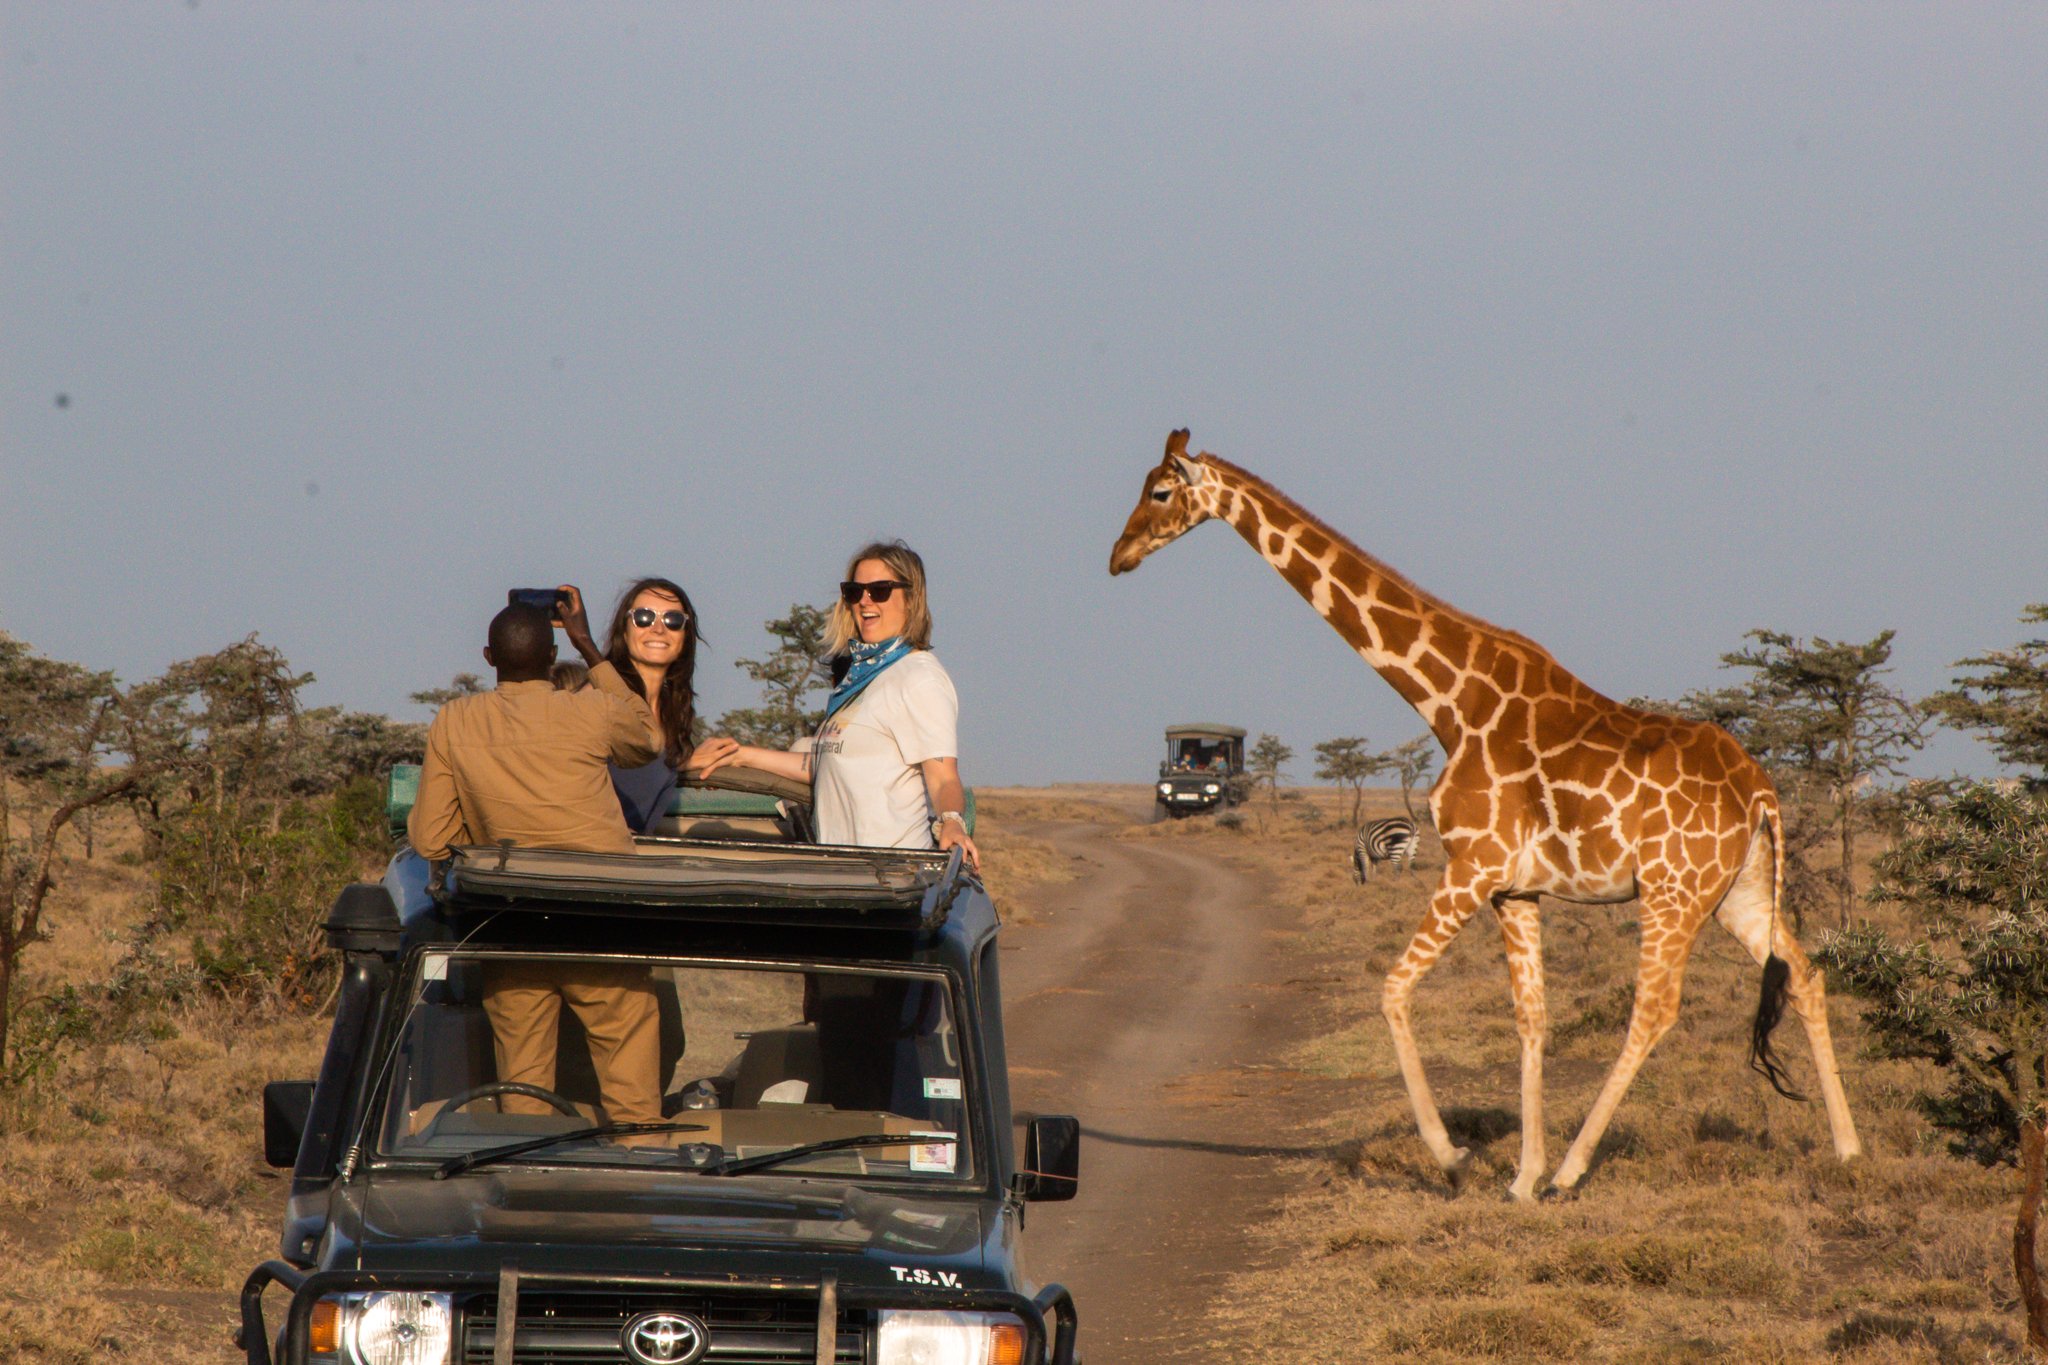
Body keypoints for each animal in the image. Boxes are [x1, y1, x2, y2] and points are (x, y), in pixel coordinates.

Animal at [1114, 427, 1867, 1195]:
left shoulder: (1472, 865)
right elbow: (1531, 1018)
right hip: (1738, 889)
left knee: (1655, 1010)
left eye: (1160, 492)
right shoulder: (1516, 888)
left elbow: (1393, 989)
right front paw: (1521, 1177)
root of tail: (1760, 791)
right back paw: (1847, 1149)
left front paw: (1458, 1158)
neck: (1448, 702)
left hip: (1672, 891)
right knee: (1804, 974)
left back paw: (1572, 1169)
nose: (1119, 556)